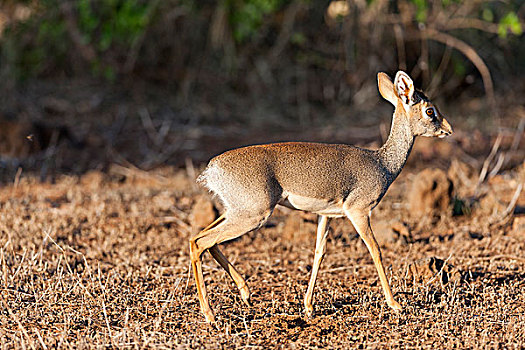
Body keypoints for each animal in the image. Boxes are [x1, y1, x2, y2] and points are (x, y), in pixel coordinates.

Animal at [190, 70, 452, 322]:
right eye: (430, 111)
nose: (448, 130)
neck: (382, 164)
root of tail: (212, 169)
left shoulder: (326, 215)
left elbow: (319, 253)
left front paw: (308, 306)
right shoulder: (358, 212)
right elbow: (375, 250)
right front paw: (395, 304)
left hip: (235, 212)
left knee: (200, 239)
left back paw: (245, 293)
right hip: (254, 215)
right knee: (201, 242)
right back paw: (210, 314)